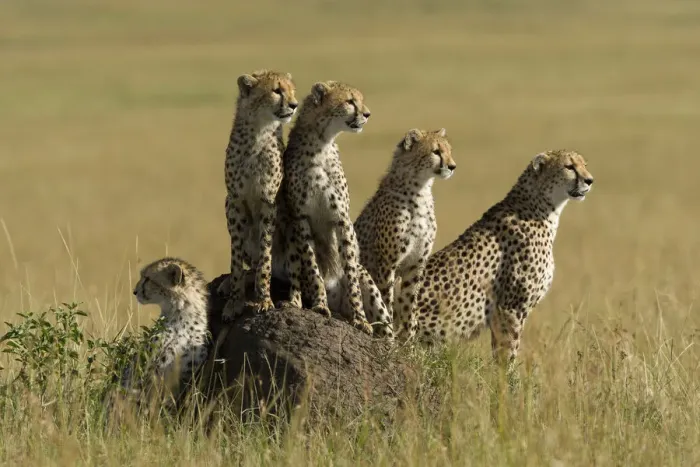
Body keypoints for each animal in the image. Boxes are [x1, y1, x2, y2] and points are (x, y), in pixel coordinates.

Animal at [221, 69, 298, 323]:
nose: (294, 105)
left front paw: (263, 299)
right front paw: (235, 300)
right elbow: (236, 258)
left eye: (292, 90)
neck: (258, 132)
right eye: (276, 91)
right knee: (251, 265)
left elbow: (265, 254)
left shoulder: (268, 202)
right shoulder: (235, 201)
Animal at [277, 80, 392, 337]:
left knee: (389, 331)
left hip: (370, 286)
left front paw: (360, 319)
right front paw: (320, 304)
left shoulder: (342, 219)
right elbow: (312, 268)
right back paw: (294, 301)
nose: (367, 114)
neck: (321, 144)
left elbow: (349, 271)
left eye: (360, 100)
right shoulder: (300, 218)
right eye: (350, 101)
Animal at [353, 128, 456, 342]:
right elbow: (386, 300)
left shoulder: (415, 264)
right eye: (436, 152)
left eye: (449, 150)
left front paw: (408, 340)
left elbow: (409, 303)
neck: (420, 191)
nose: (452, 166)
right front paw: (390, 335)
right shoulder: (387, 263)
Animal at [414, 149, 594, 364]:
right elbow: (507, 352)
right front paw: (507, 373)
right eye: (569, 166)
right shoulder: (510, 308)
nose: (590, 180)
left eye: (584, 165)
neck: (543, 207)